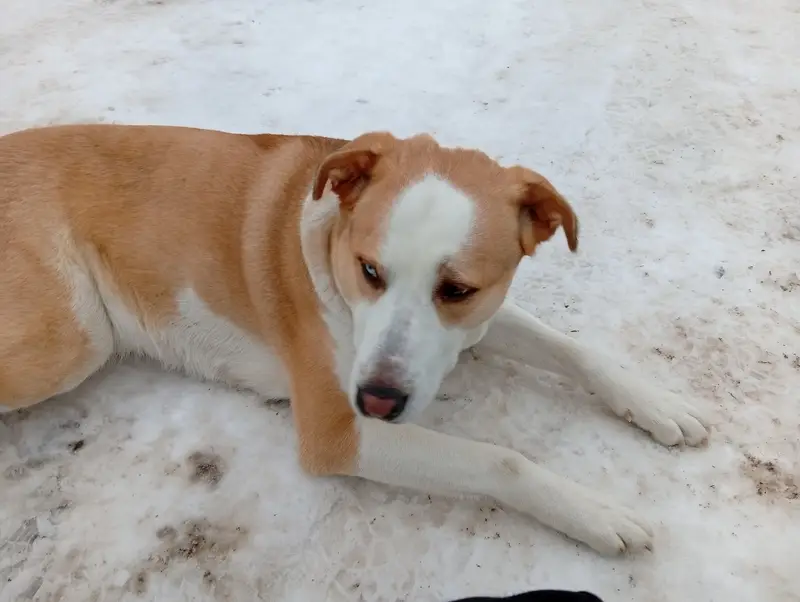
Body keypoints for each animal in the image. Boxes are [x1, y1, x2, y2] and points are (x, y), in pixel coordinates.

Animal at [0, 124, 710, 555]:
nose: (377, 400)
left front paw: (656, 404)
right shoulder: (338, 432)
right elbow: (498, 459)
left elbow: (572, 348)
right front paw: (594, 511)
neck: (327, 245)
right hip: (75, 335)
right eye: (370, 271)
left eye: (456, 289)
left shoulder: (476, 322)